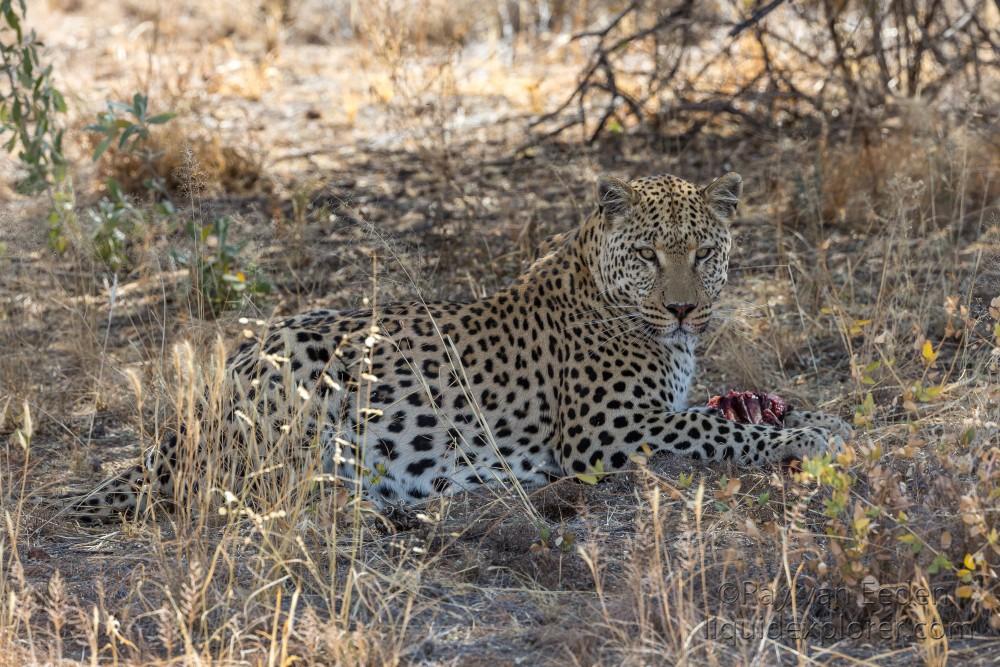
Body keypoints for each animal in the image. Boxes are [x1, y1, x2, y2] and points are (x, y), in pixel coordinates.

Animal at [70, 172, 852, 520]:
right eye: (649, 255)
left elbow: (729, 412)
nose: (685, 307)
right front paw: (814, 432)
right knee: (260, 491)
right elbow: (719, 430)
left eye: (704, 251)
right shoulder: (610, 433)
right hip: (298, 393)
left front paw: (811, 416)